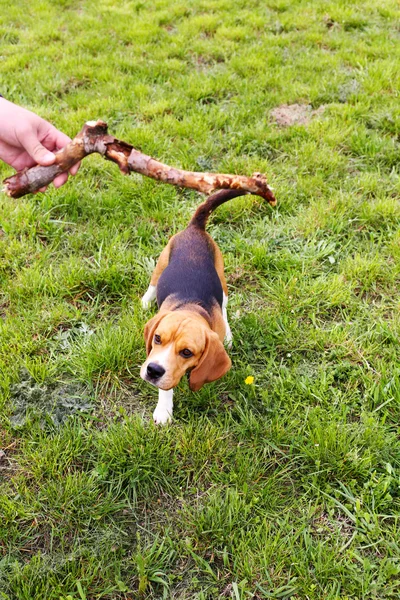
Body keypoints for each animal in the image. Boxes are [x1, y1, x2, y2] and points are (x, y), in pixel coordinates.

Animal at [141, 190, 247, 424]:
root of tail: (195, 228)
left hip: (221, 277)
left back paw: (229, 335)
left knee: (224, 305)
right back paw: (145, 301)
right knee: (153, 283)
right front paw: (164, 410)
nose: (153, 370)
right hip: (162, 262)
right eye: (157, 338)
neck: (191, 308)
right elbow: (166, 388)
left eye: (187, 352)